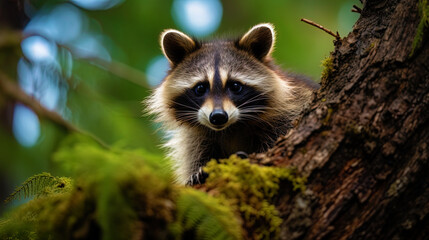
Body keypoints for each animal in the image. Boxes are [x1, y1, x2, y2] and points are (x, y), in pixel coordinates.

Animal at [147, 23, 318, 185]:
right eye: (200, 88)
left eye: (235, 86)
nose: (218, 116)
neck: (231, 128)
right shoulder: (195, 139)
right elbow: (195, 158)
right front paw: (197, 172)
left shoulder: (289, 113)